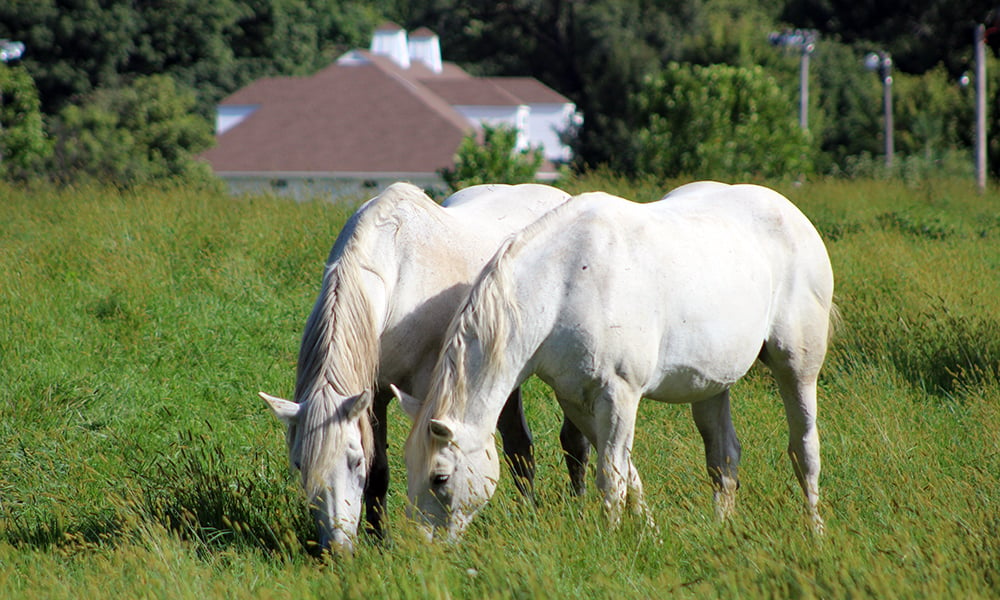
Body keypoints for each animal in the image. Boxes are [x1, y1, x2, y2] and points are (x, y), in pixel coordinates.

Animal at [258, 180, 572, 552]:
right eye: (299, 464)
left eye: (354, 460)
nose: (337, 549)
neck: (397, 273)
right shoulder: (376, 394)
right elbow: (379, 472)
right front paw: (379, 536)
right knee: (518, 445)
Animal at [398, 182, 836, 540]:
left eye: (440, 477)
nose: (425, 547)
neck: (565, 283)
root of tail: (791, 213)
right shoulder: (577, 399)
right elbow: (628, 472)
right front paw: (649, 533)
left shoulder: (619, 395)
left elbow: (610, 476)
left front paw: (610, 538)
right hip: (711, 385)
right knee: (723, 458)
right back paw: (722, 530)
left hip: (796, 367)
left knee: (804, 449)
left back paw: (815, 530)